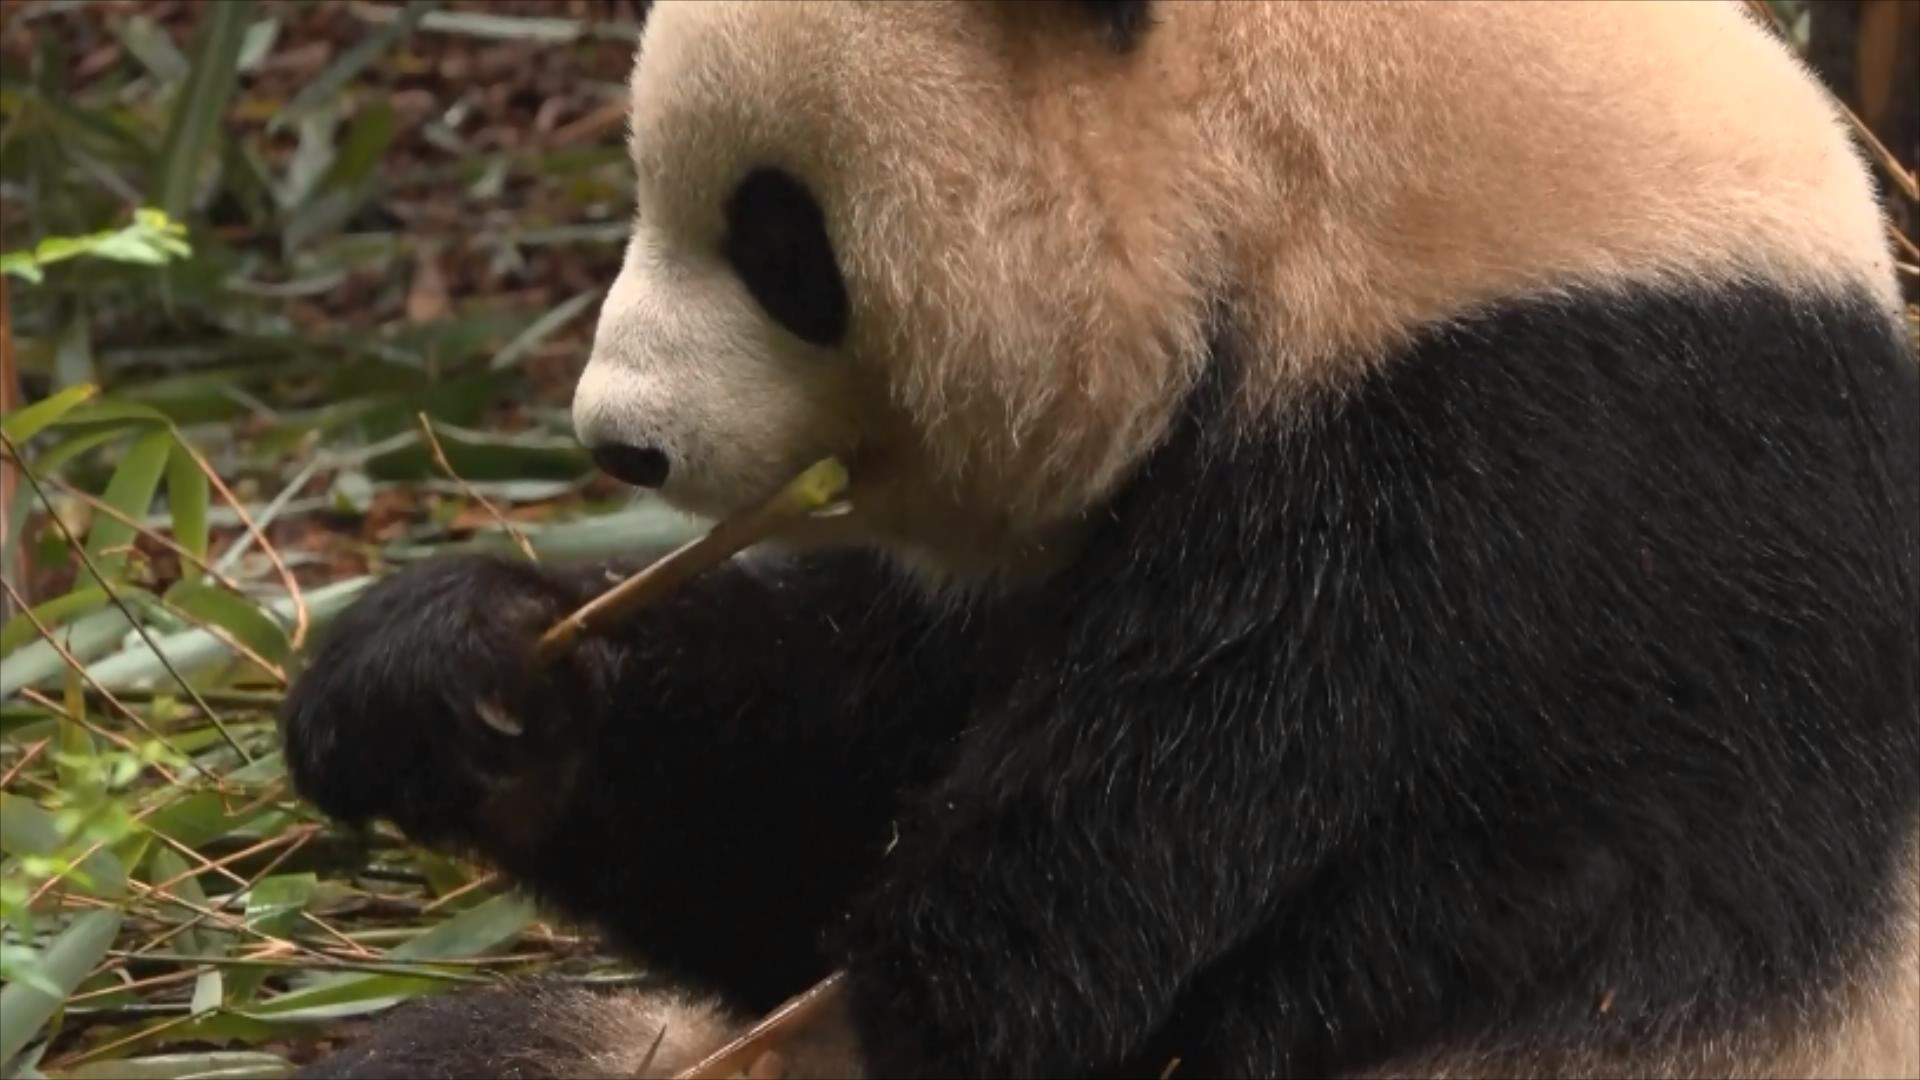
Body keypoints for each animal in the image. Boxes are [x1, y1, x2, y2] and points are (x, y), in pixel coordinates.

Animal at [279, 1, 1920, 1077]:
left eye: (776, 237)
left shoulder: (1530, 486)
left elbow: (1073, 960)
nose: (620, 441)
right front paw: (451, 672)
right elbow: (810, 803)